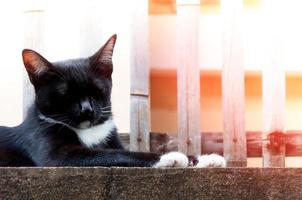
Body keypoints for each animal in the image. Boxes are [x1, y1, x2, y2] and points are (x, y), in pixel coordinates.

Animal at [0, 35, 225, 168]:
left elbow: (120, 149)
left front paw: (204, 159)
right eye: (67, 95)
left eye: (97, 91)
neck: (89, 131)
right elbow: (114, 154)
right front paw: (169, 157)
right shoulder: (53, 152)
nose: (87, 110)